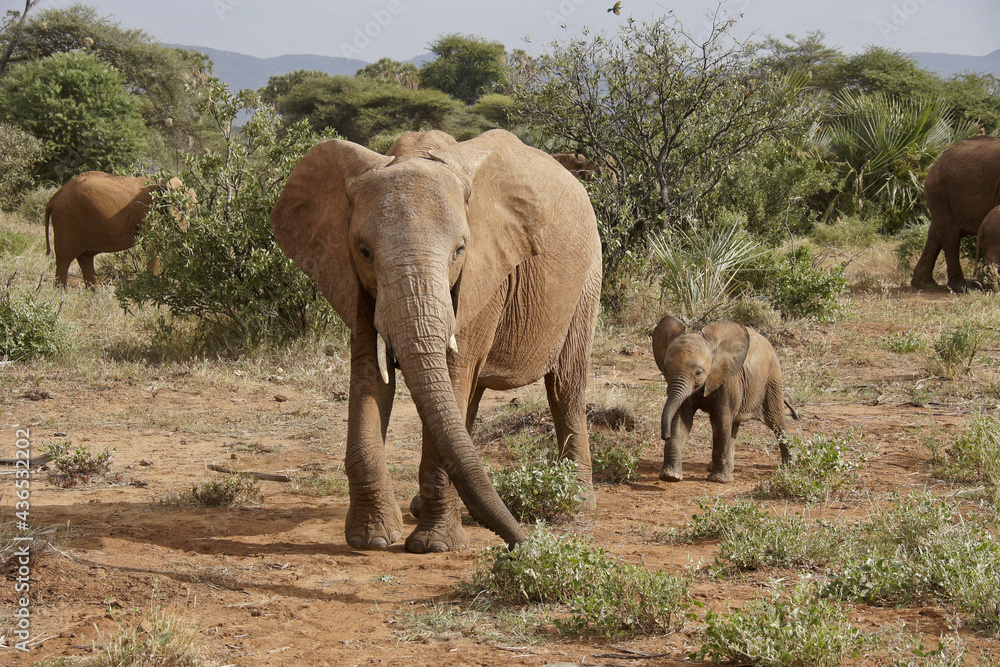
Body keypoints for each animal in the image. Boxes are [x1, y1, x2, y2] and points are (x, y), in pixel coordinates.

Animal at [45, 171, 190, 287]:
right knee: (64, 260)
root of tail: (53, 198)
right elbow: (151, 246)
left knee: (85, 259)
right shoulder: (149, 212)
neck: (164, 185)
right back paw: (60, 293)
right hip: (66, 221)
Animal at [270, 129, 602, 553]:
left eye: (460, 249)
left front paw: (434, 546)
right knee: (469, 397)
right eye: (364, 251)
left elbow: (454, 370)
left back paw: (577, 501)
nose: (522, 544)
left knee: (563, 385)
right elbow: (370, 375)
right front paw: (372, 539)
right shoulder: (351, 278)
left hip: (588, 275)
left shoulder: (483, 274)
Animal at [652, 316, 797, 483]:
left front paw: (719, 479)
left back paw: (789, 465)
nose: (664, 436)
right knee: (734, 425)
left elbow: (720, 419)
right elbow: (681, 419)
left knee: (775, 420)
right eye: (665, 370)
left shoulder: (729, 378)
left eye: (699, 373)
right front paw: (670, 476)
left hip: (772, 379)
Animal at [911, 135, 1000, 292]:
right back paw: (960, 287)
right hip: (941, 193)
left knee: (935, 233)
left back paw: (924, 284)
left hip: (940, 197)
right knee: (950, 235)